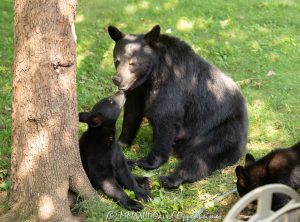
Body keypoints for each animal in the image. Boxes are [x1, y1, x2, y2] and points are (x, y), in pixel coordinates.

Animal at [108, 25, 248, 188]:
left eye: (132, 62)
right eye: (117, 60)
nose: (117, 79)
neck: (151, 78)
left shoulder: (172, 87)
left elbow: (164, 118)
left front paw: (151, 160)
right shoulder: (137, 91)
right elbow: (132, 113)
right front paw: (121, 143)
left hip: (223, 131)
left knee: (202, 156)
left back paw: (169, 178)